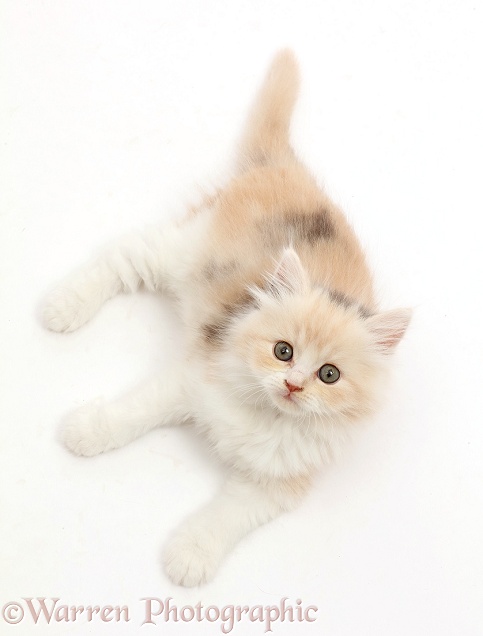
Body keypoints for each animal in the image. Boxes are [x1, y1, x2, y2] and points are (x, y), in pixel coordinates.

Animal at [42, 49, 412, 588]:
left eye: (329, 375)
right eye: (283, 351)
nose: (293, 384)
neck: (267, 414)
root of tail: (286, 167)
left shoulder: (275, 485)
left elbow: (224, 519)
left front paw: (188, 558)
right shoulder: (191, 378)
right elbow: (131, 413)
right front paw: (85, 433)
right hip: (182, 251)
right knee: (122, 254)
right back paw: (61, 307)